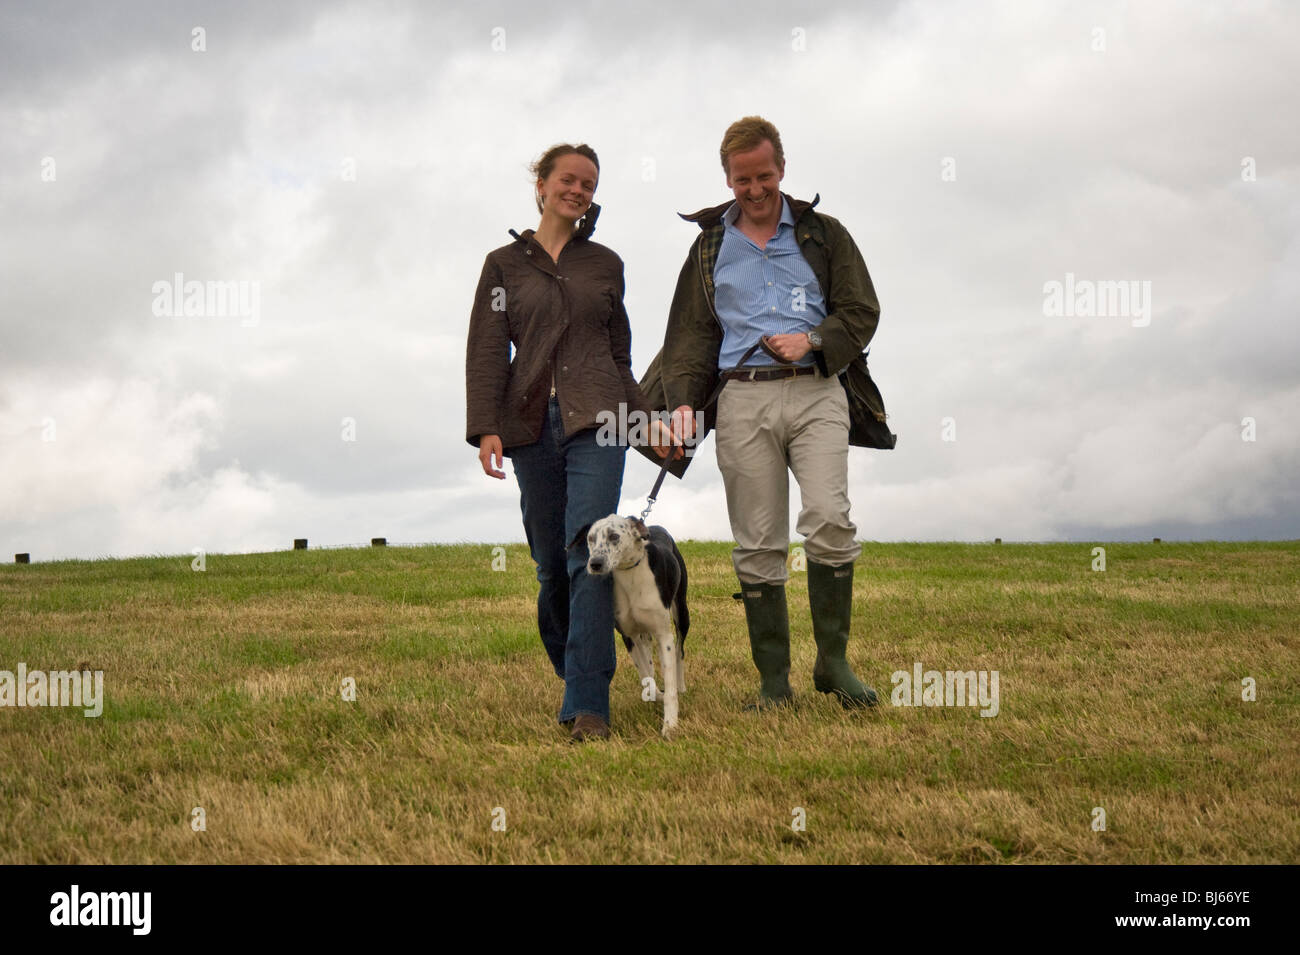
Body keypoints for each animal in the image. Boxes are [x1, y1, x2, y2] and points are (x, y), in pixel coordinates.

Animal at [569, 519, 691, 738]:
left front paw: (670, 725)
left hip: (681, 612)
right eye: (590, 538)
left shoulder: (664, 636)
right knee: (649, 660)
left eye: (614, 536)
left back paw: (681, 685)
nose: (595, 563)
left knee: (680, 650)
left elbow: (669, 682)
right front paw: (654, 694)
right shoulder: (628, 635)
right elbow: (645, 674)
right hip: (644, 634)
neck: (631, 574)